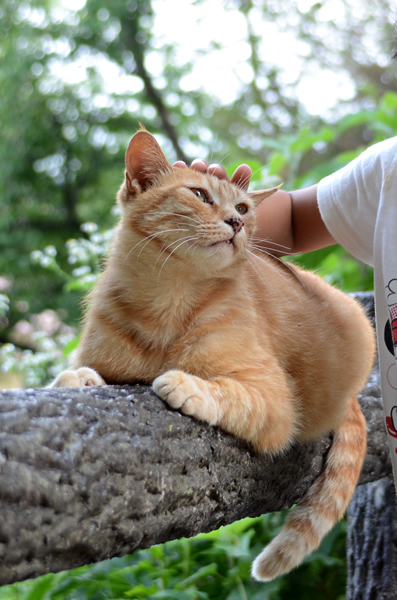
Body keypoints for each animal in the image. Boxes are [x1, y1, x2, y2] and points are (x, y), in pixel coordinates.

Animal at [50, 130, 374, 580]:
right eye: (200, 194)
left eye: (242, 208)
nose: (236, 223)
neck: (167, 302)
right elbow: (72, 375)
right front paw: (77, 378)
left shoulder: (275, 401)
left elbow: (228, 392)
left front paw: (185, 384)